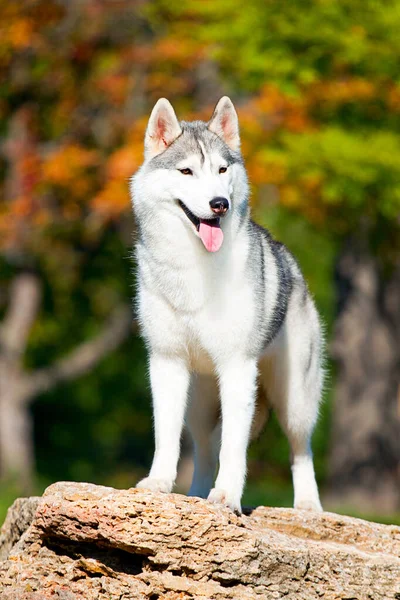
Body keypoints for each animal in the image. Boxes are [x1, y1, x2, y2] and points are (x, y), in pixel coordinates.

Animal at [131, 97, 324, 510]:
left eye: (222, 169)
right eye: (186, 171)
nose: (219, 204)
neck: (191, 269)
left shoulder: (237, 367)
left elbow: (234, 448)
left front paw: (227, 496)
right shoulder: (166, 362)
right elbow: (166, 437)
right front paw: (158, 484)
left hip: (294, 401)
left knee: (300, 449)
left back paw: (307, 506)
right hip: (200, 404)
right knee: (205, 449)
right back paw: (195, 494)